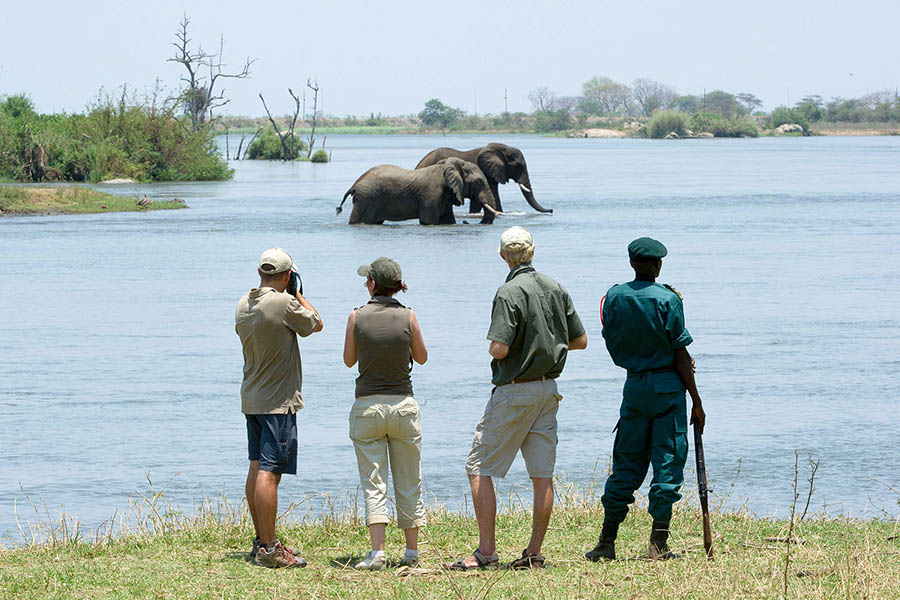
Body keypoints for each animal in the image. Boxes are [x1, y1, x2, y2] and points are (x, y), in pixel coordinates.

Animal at [336, 157, 500, 225]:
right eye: (479, 182)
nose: (466, 221)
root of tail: (356, 183)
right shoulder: (432, 194)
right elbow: (428, 221)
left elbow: (448, 220)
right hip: (367, 198)